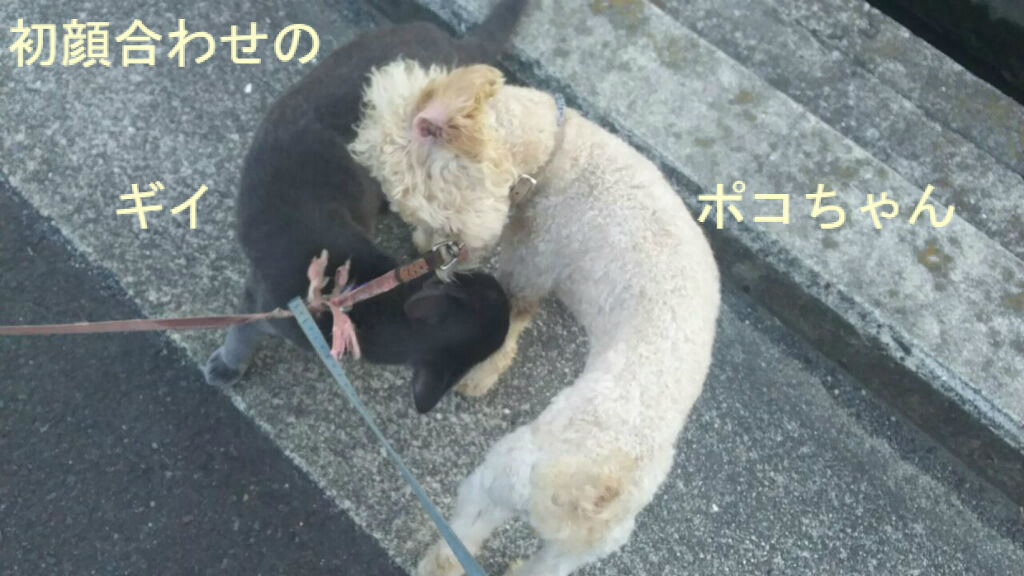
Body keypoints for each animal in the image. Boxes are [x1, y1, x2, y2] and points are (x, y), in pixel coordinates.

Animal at [203, 0, 529, 413]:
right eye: (488, 289)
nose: (497, 284)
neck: (353, 300)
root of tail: (455, 46)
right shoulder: (265, 300)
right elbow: (241, 334)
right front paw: (228, 366)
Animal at [349, 62, 721, 575]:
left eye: (420, 205)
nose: (426, 249)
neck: (552, 153)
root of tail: (595, 491)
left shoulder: (534, 258)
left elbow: (515, 314)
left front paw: (482, 374)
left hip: (497, 477)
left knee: (464, 534)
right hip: (585, 545)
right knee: (550, 565)